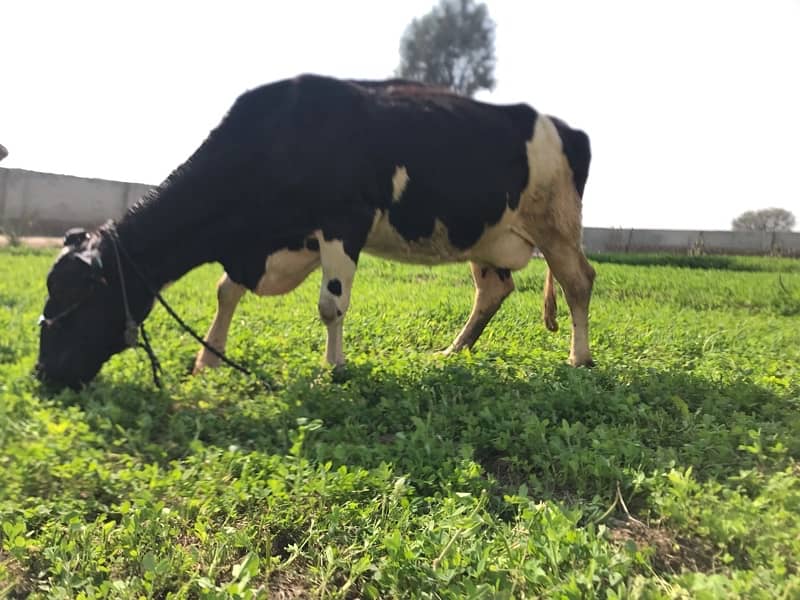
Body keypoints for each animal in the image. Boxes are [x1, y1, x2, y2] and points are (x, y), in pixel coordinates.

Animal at [36, 74, 592, 390]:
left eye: (78, 299)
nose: (43, 375)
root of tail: (568, 128)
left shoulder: (344, 222)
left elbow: (331, 304)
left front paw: (335, 368)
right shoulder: (272, 243)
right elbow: (225, 291)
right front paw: (207, 361)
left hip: (556, 224)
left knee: (578, 281)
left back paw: (579, 358)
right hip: (486, 237)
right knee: (494, 288)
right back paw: (453, 351)